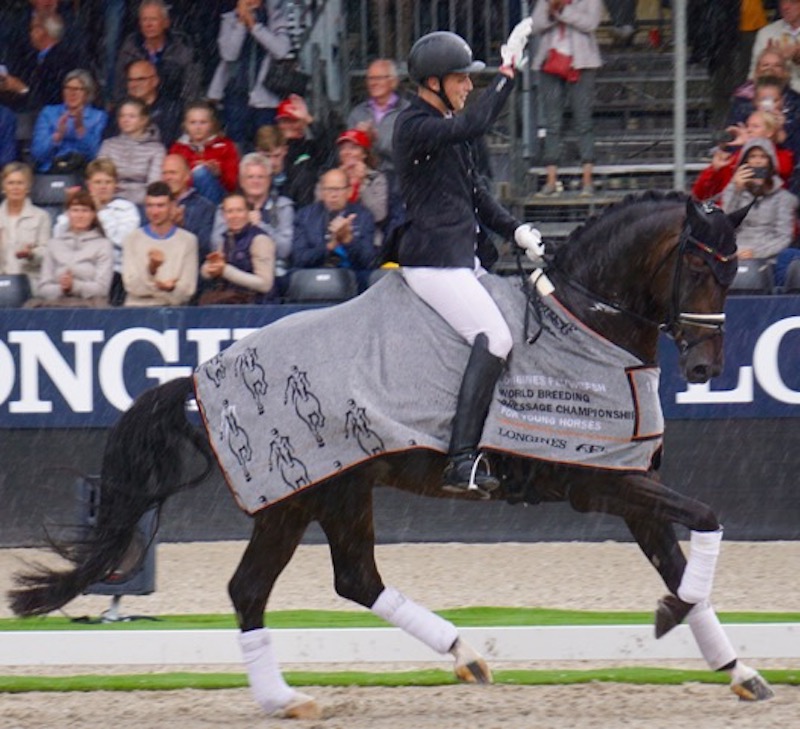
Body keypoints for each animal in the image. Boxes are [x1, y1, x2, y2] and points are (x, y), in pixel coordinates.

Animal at [8, 192, 774, 720]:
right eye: (695, 264)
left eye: (734, 267)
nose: (705, 366)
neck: (588, 326)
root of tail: (206, 370)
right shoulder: (595, 484)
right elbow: (708, 518)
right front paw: (669, 616)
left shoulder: (628, 480)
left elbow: (683, 555)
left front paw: (735, 666)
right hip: (292, 498)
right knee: (253, 590)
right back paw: (288, 698)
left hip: (341, 488)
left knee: (354, 578)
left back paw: (462, 656)